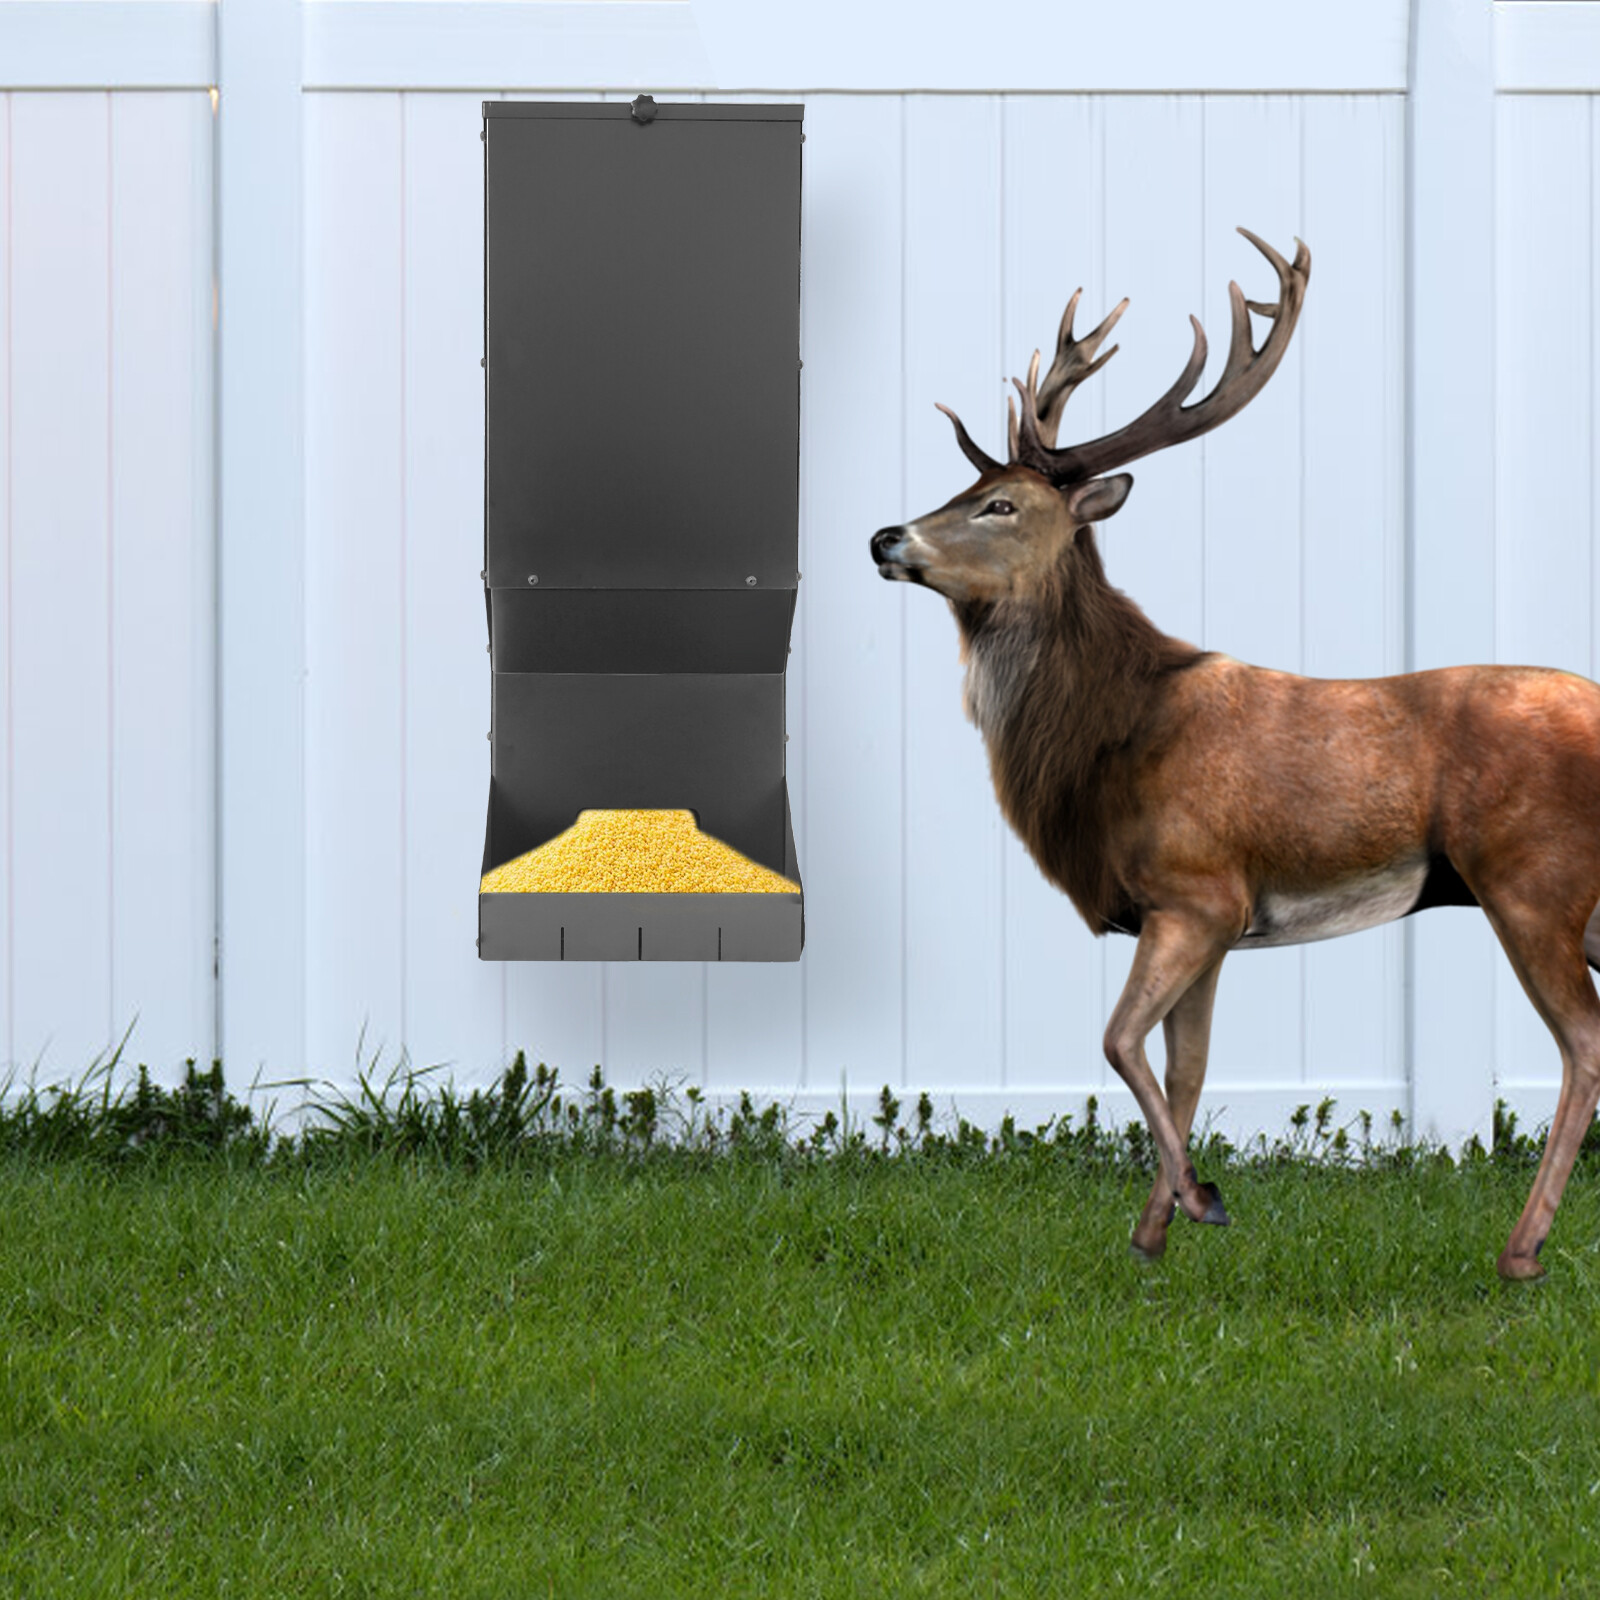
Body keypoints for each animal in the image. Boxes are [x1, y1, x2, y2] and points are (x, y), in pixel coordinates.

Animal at [870, 228, 1600, 1281]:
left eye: (1000, 504)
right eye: (963, 489)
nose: (886, 536)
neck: (1110, 735)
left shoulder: (1196, 888)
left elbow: (1118, 1042)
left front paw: (1200, 1200)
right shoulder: (1206, 920)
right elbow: (1185, 1065)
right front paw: (1153, 1233)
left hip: (1533, 877)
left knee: (1584, 1042)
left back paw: (1522, 1251)